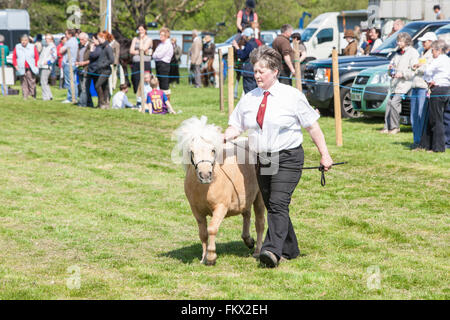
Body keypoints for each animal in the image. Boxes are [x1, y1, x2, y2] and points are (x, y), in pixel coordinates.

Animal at [171, 115, 264, 264]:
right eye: (192, 151)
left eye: (213, 150)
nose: (205, 175)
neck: (205, 188)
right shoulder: (197, 211)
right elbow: (203, 233)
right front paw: (203, 257)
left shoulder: (221, 207)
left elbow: (212, 229)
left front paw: (211, 257)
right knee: (246, 214)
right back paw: (248, 240)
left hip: (259, 198)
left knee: (260, 223)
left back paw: (257, 251)